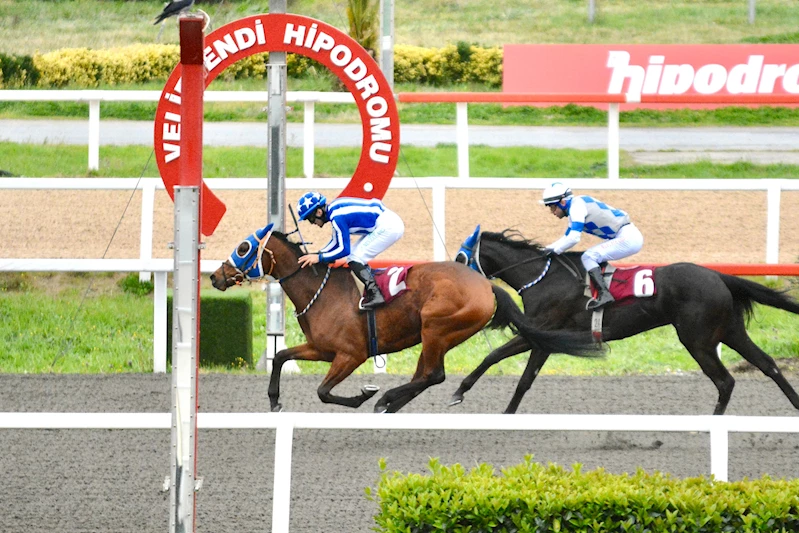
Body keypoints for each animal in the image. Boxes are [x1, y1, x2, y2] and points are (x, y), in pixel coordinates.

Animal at [209, 222, 604, 414]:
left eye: (243, 247)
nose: (215, 276)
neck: (321, 292)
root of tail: (486, 286)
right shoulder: (322, 349)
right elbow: (280, 356)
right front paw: (274, 399)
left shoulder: (351, 354)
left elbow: (323, 392)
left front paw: (364, 394)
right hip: (435, 336)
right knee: (425, 376)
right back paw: (391, 403)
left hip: (437, 327)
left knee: (433, 375)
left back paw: (386, 398)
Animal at [454, 225, 799, 416]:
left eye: (460, 257)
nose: (450, 275)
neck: (542, 277)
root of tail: (718, 275)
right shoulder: (545, 340)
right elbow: (521, 377)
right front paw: (502, 411)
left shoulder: (538, 333)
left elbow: (497, 358)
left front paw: (461, 392)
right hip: (729, 330)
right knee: (767, 364)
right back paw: (795, 406)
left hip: (698, 339)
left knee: (725, 381)